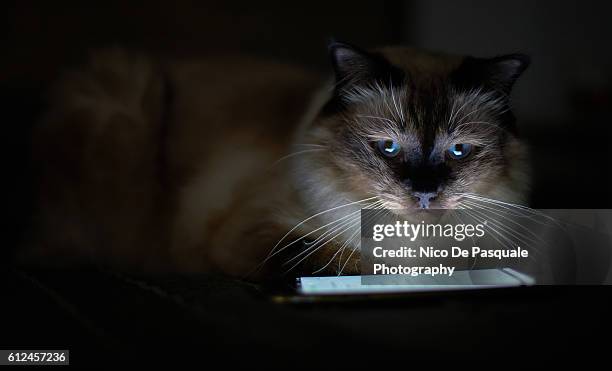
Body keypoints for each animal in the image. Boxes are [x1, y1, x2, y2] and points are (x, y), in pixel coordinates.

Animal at [23, 42, 532, 280]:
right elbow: (343, 260)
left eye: (458, 150)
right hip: (123, 95)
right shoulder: (263, 232)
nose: (425, 193)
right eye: (387, 147)